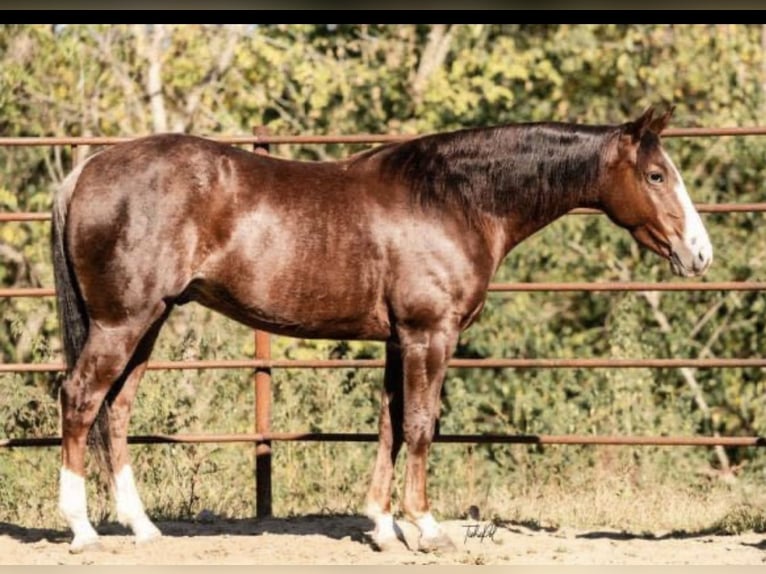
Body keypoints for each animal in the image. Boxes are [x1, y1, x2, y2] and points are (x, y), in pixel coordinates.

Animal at [52, 107, 712, 552]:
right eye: (657, 175)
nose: (700, 253)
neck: (454, 199)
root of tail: (87, 168)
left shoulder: (400, 340)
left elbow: (391, 425)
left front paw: (383, 525)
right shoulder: (429, 335)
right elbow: (420, 426)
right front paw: (427, 527)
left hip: (149, 320)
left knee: (117, 409)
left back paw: (142, 527)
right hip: (122, 321)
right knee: (81, 398)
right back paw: (83, 530)